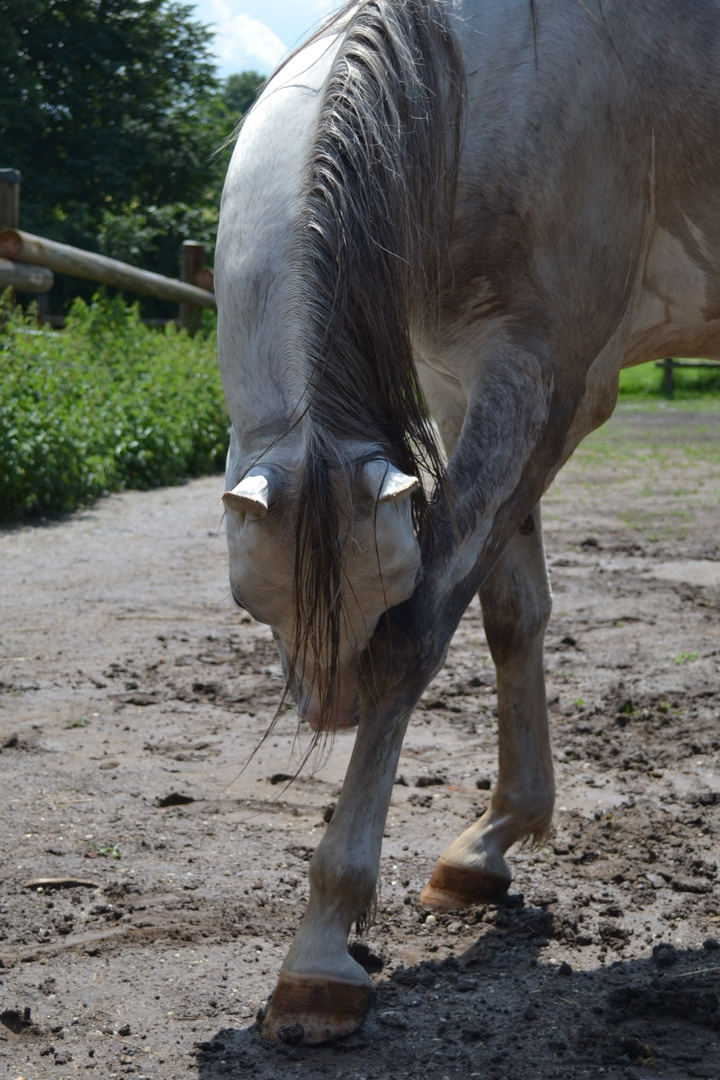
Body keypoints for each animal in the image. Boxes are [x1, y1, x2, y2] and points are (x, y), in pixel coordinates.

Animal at [213, 0, 720, 1045]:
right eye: (252, 601)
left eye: (384, 588)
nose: (330, 708)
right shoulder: (457, 382)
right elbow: (510, 612)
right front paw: (490, 846)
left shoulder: (551, 385)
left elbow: (422, 634)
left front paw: (319, 956)